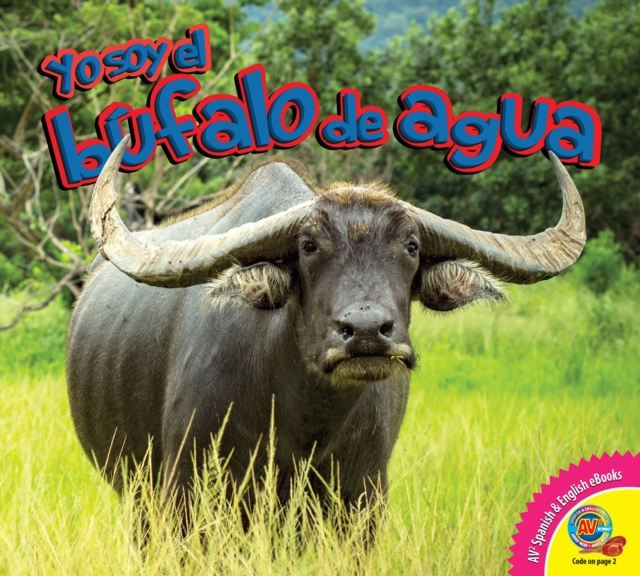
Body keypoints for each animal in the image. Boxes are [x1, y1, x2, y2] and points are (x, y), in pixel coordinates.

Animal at [67, 136, 585, 527]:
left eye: (412, 246)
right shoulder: (188, 496)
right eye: (309, 246)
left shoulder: (361, 502)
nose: (367, 331)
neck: (303, 422)